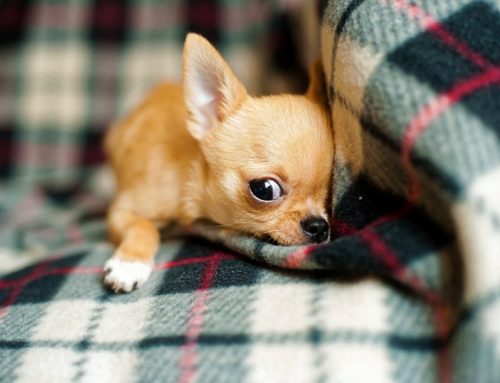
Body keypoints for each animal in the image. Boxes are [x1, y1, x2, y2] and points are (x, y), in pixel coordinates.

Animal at [103, 33, 334, 292]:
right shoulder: (121, 211)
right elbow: (144, 225)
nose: (318, 226)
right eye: (265, 189)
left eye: (330, 190)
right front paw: (130, 264)